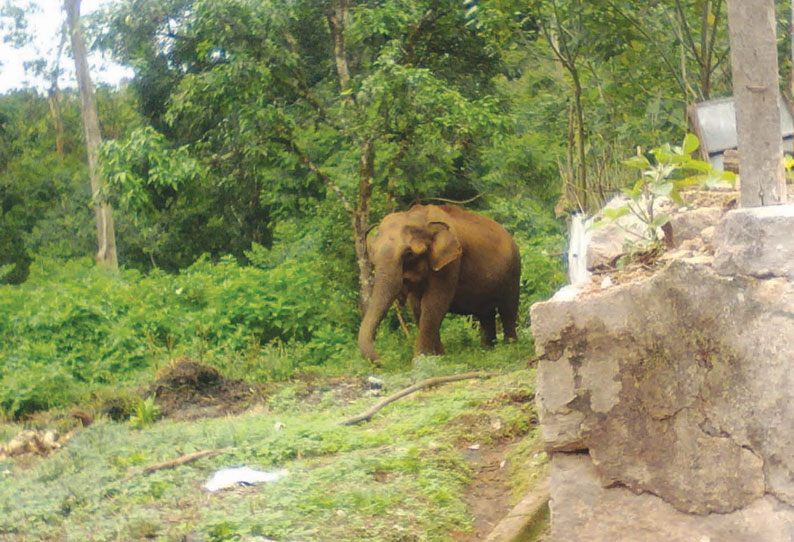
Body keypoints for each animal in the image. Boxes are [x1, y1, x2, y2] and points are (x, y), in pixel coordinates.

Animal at [358, 203, 520, 362]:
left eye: (409, 254)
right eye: (373, 254)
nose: (382, 359)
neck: (420, 217)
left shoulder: (451, 263)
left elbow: (433, 302)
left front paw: (421, 361)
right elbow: (417, 306)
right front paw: (439, 357)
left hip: (513, 270)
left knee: (508, 309)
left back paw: (510, 348)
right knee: (486, 313)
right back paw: (487, 351)